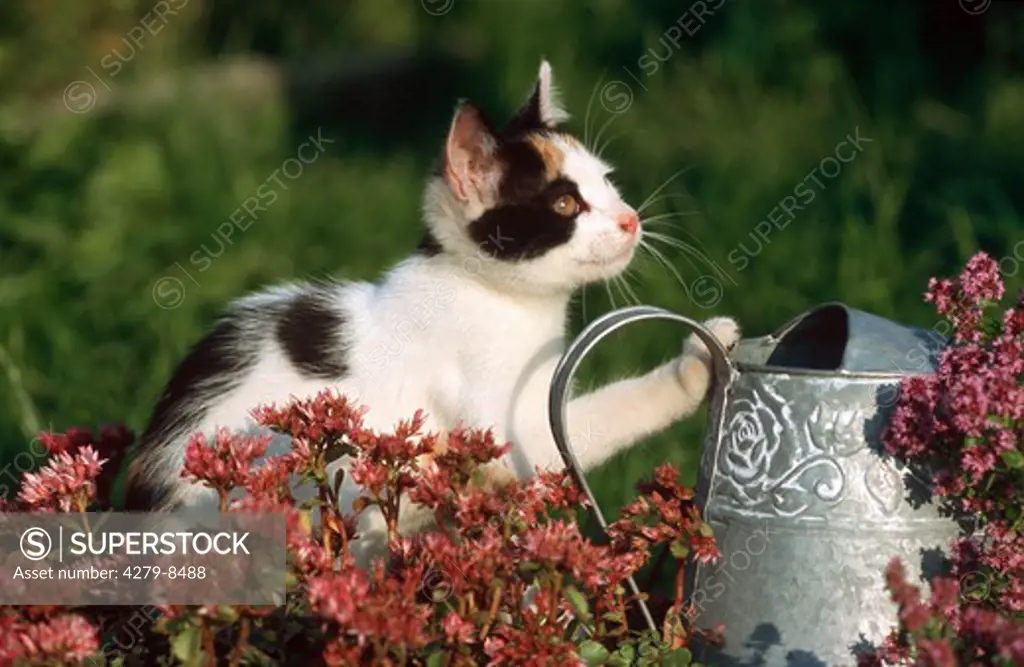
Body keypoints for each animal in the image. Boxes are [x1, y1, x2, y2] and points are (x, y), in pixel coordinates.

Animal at [123, 59, 741, 561]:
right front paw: (696, 362)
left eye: (608, 184)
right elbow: (596, 419)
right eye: (566, 204)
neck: (489, 293)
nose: (630, 219)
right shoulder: (501, 425)